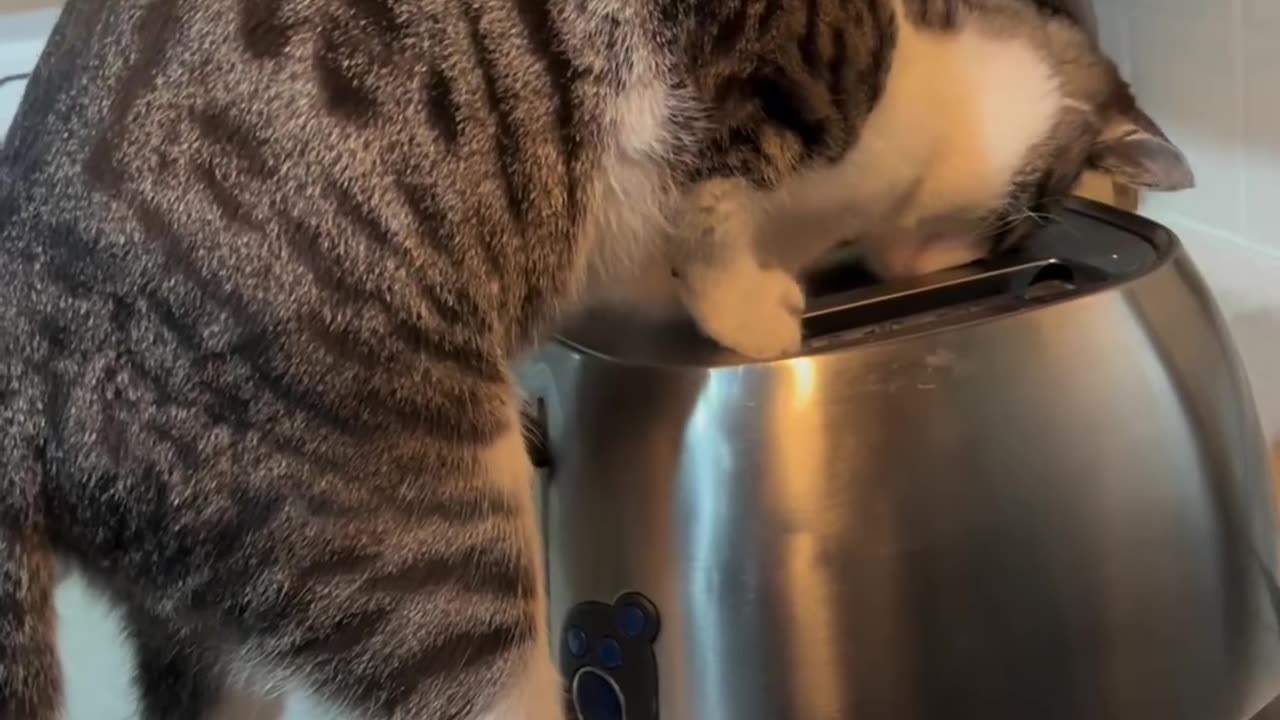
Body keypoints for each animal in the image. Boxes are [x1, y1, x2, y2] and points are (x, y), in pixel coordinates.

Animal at [2, 0, 1187, 712]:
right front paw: (755, 316)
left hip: (214, 628)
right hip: (437, 575)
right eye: (1018, 224)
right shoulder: (744, 76)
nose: (971, 258)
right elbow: (715, 210)